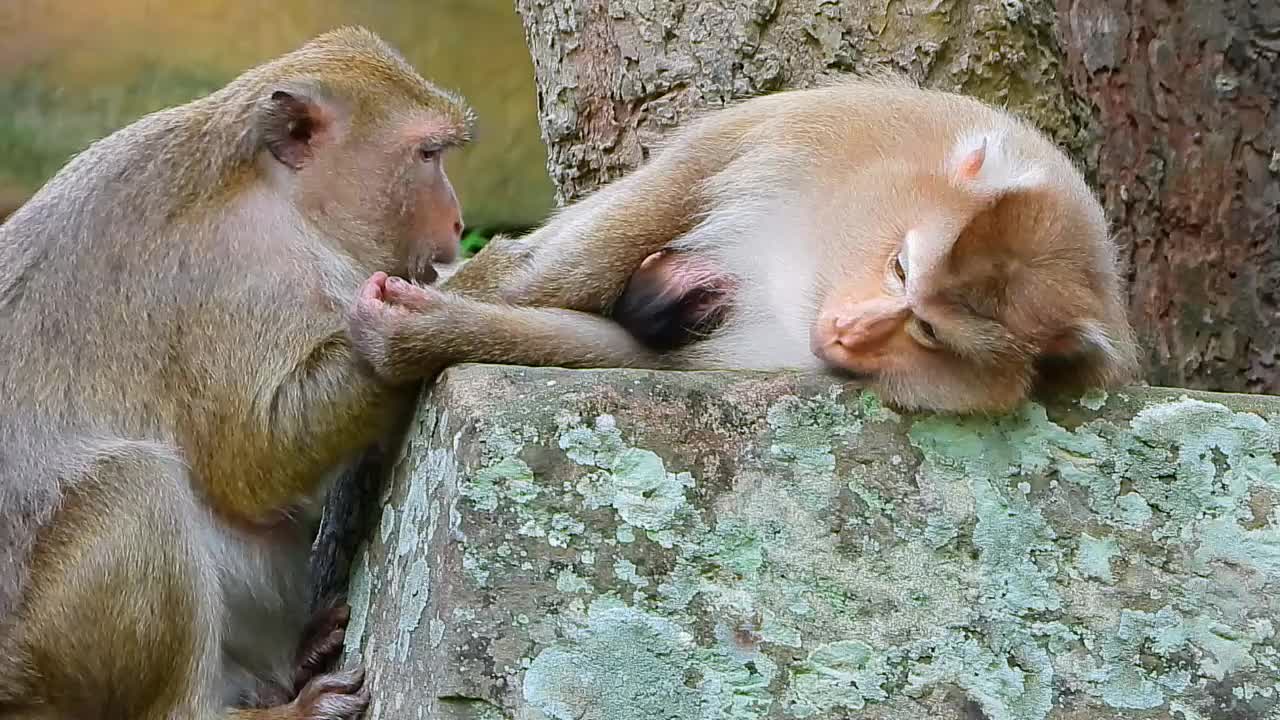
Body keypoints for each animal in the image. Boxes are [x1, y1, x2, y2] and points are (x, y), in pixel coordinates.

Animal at [1, 25, 471, 712]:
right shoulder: (238, 274)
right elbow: (251, 462)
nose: (460, 222)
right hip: (41, 656)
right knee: (136, 485)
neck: (272, 192)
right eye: (428, 154)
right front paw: (472, 294)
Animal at [350, 74, 1141, 412]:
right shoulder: (825, 127)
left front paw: (431, 334)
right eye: (899, 267)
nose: (850, 330)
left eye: (926, 332)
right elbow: (677, 185)